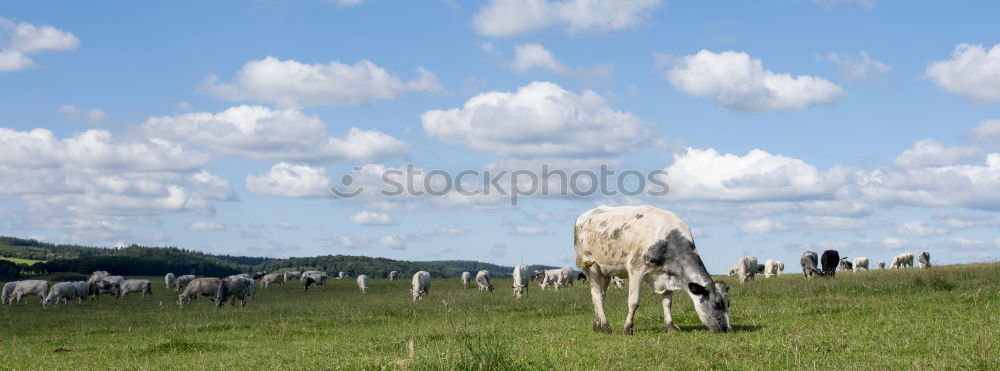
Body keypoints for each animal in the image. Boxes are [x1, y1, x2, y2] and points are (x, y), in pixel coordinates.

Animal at [576, 206, 732, 334]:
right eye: (717, 304)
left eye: (728, 304)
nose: (727, 329)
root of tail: (583, 216)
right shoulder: (636, 270)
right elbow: (634, 302)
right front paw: (628, 328)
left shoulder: (666, 274)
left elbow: (667, 302)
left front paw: (669, 326)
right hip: (590, 265)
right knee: (597, 295)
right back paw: (605, 326)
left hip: (606, 271)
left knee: (601, 296)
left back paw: (597, 325)